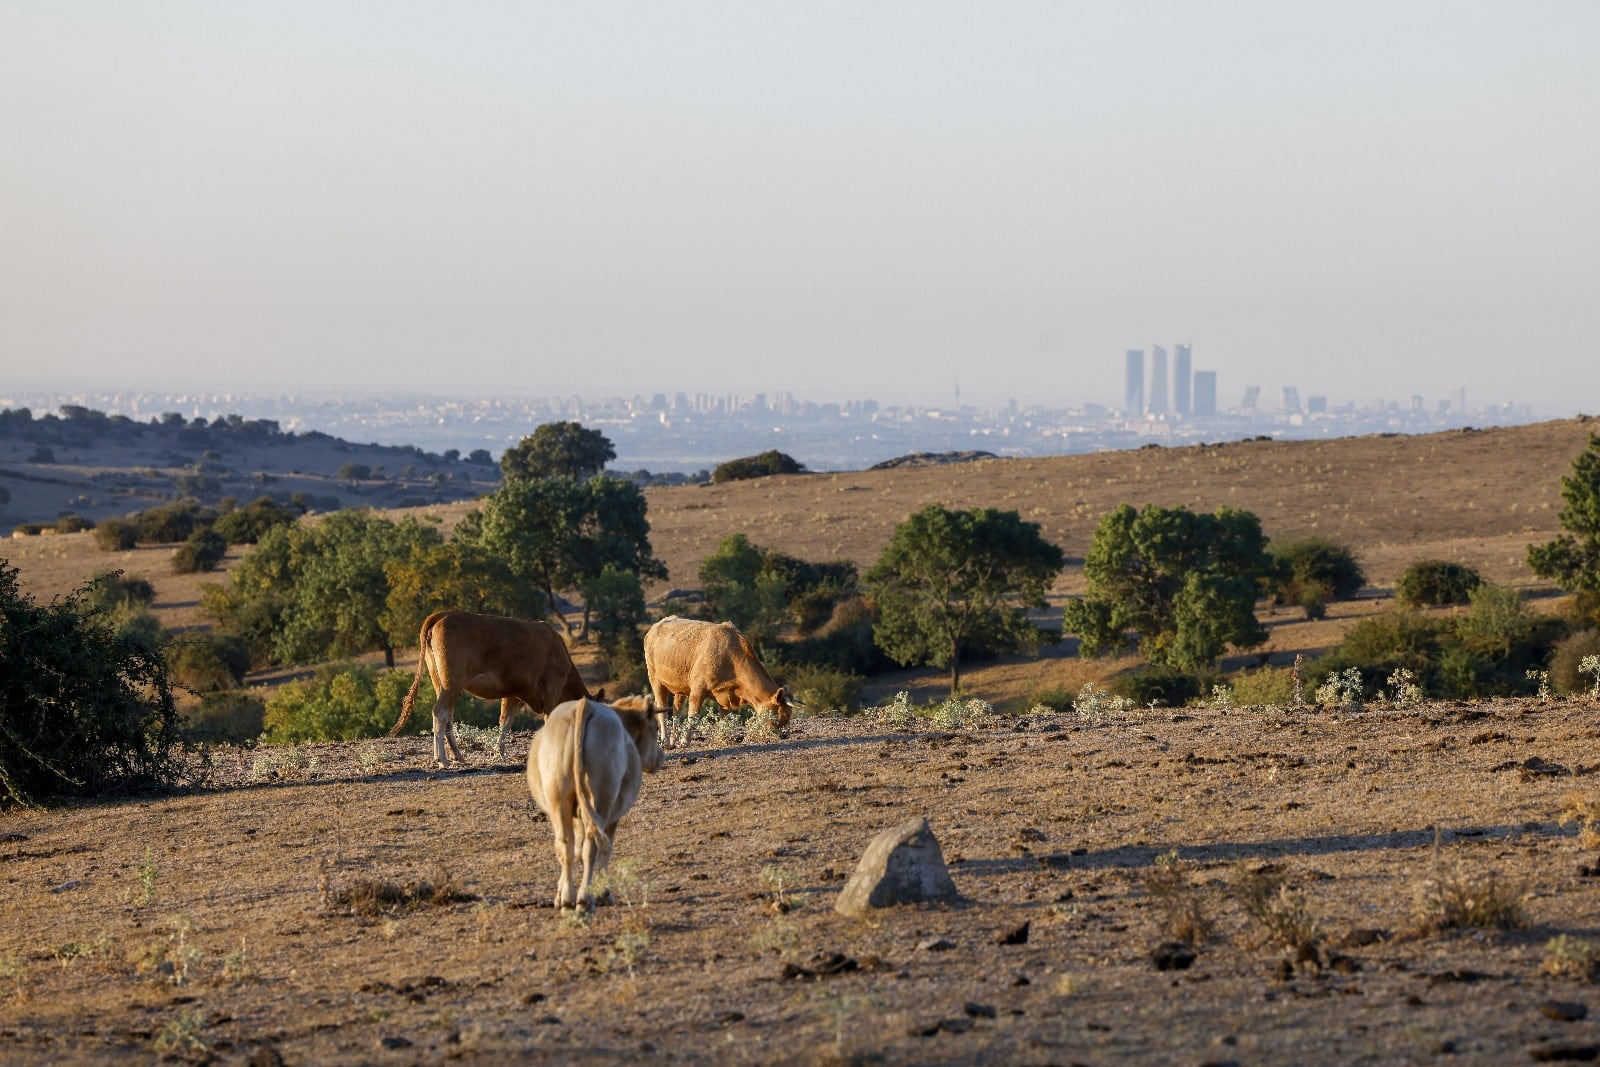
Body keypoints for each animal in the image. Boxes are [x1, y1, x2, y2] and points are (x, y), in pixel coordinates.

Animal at [392, 614, 601, 771]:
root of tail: (444, 614)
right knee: (440, 712)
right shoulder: (552, 687)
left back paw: (458, 756)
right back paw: (442, 759)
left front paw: (499, 754)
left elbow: (505, 722)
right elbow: (548, 720)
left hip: (441, 682)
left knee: (448, 715)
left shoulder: (512, 693)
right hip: (452, 682)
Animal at [524, 700, 662, 908]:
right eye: (656, 728)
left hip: (559, 798)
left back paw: (567, 898)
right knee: (593, 847)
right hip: (601, 800)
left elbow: (576, 849)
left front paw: (559, 892)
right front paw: (604, 892)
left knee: (565, 844)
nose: (660, 757)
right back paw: (585, 898)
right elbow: (605, 848)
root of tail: (584, 705)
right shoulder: (613, 815)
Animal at [633, 617, 790, 751]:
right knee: (662, 709)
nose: (785, 735)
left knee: (677, 710)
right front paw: (685, 741)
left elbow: (724, 716)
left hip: (680, 685)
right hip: (655, 678)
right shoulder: (698, 688)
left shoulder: (725, 694)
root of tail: (654, 627)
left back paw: (673, 741)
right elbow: (693, 716)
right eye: (780, 715)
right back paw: (665, 741)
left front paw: (725, 736)